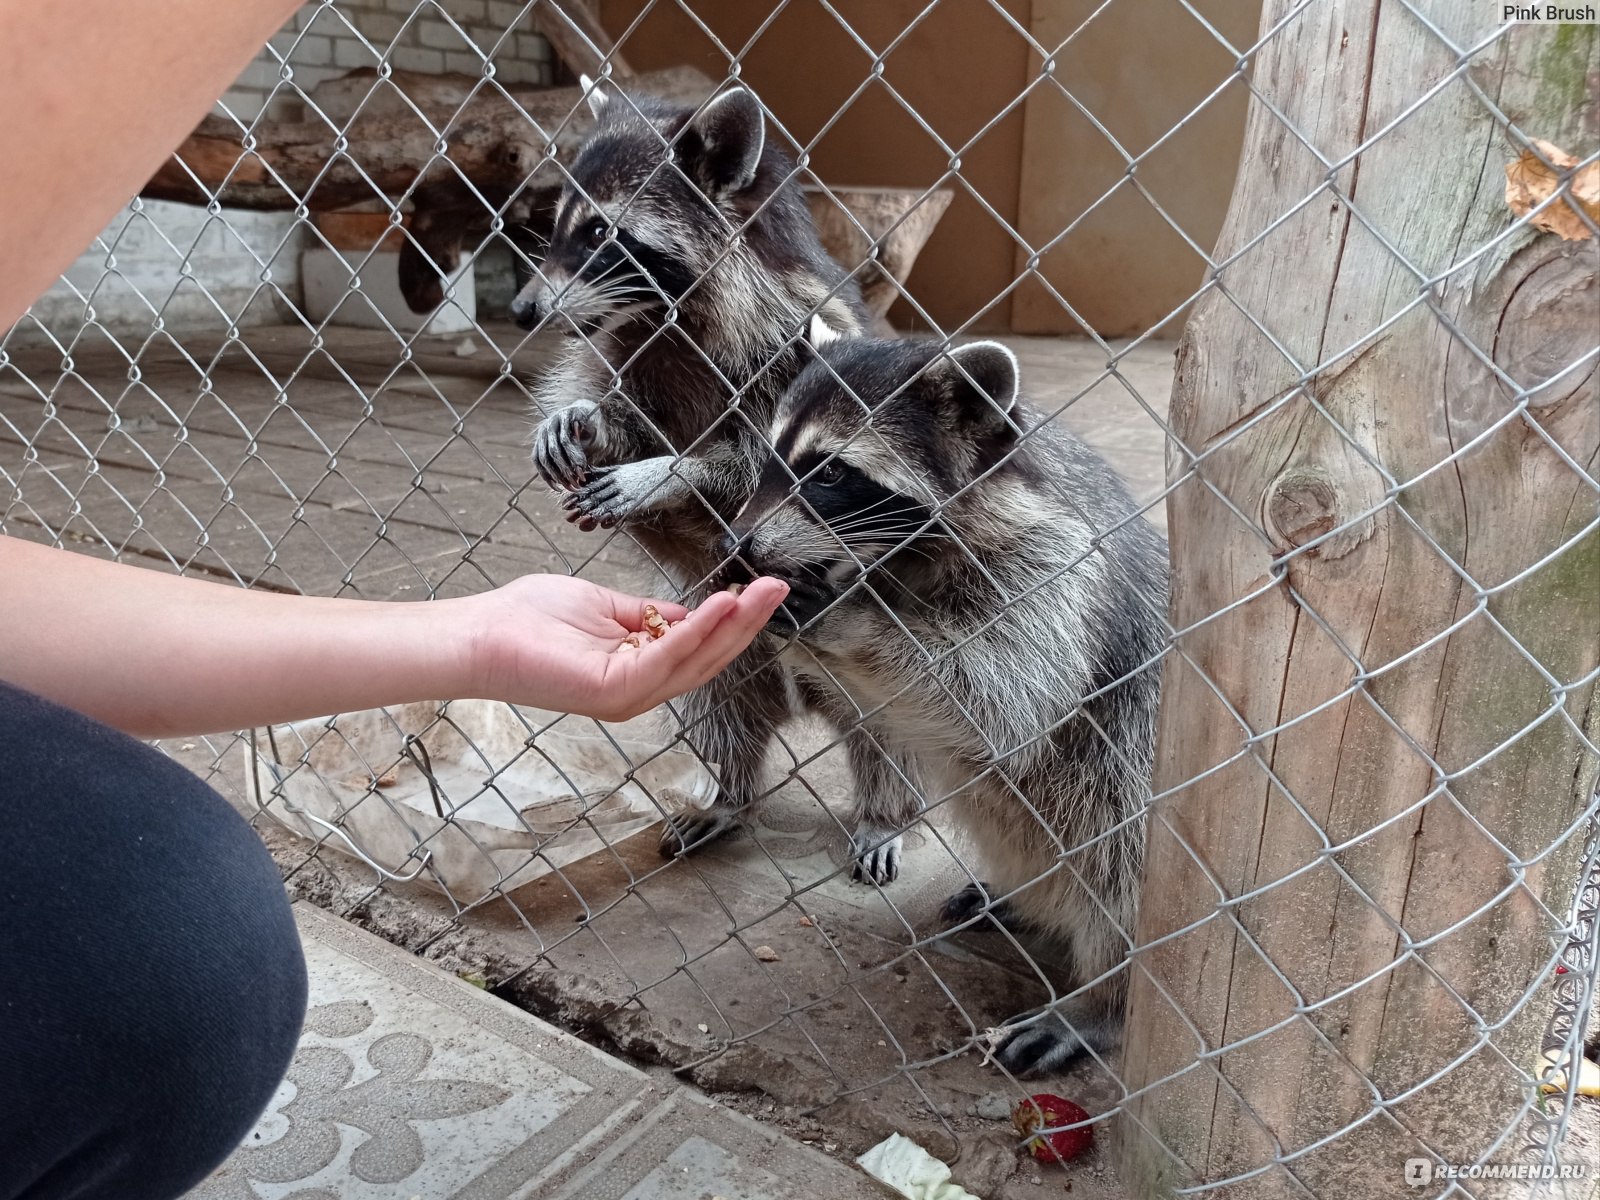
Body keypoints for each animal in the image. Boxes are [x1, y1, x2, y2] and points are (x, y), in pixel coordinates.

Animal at [512, 82, 870, 864]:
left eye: (600, 233)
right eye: (558, 225)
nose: (522, 309)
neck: (661, 318)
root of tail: (796, 697)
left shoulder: (797, 350)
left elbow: (763, 472)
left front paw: (674, 470)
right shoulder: (624, 350)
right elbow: (614, 406)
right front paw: (583, 418)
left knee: (884, 737)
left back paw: (886, 810)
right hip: (719, 660)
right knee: (719, 719)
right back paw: (726, 793)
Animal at [720, 324, 1171, 1075]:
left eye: (830, 473)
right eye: (771, 458)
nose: (734, 548)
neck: (908, 559)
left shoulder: (1056, 568)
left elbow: (1002, 705)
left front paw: (851, 620)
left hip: (1134, 781)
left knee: (1120, 867)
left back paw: (1102, 1001)